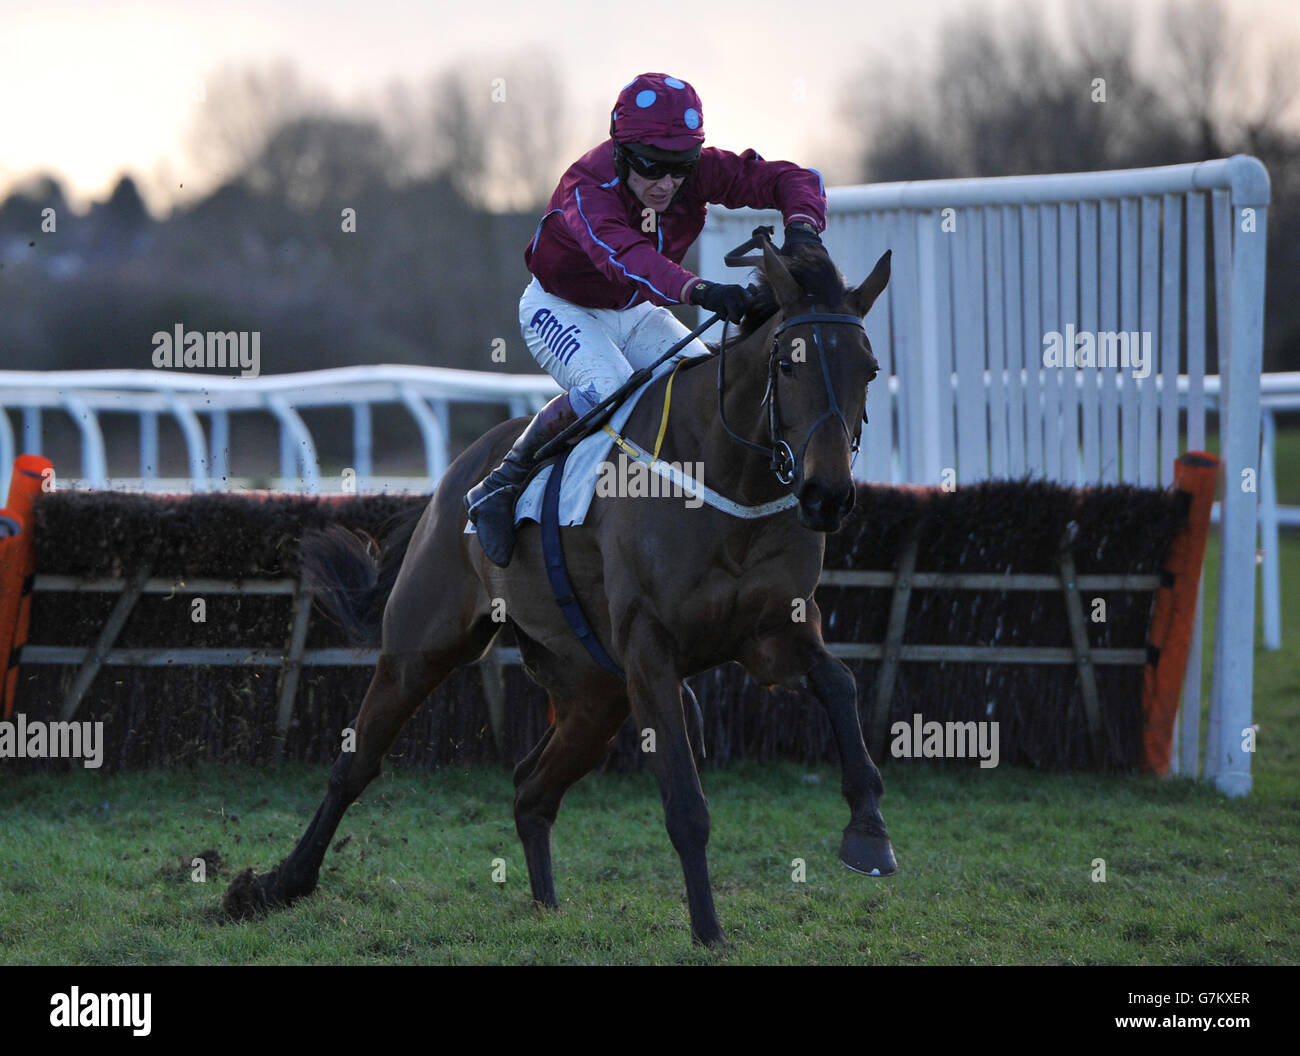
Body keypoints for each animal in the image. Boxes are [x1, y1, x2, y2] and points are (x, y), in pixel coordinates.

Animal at [223, 239, 894, 946]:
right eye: (788, 366)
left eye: (870, 369)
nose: (827, 495)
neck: (728, 476)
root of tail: (458, 475)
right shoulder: (650, 651)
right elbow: (685, 803)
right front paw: (709, 931)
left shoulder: (771, 633)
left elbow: (840, 684)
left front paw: (869, 833)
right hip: (423, 647)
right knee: (356, 763)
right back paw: (276, 886)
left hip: (594, 692)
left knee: (531, 788)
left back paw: (545, 906)